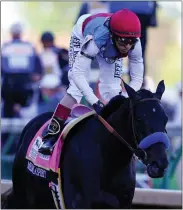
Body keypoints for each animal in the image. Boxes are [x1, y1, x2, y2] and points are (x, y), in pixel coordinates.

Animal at [2, 80, 170, 208]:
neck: (109, 161)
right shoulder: (78, 203)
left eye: (165, 118)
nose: (159, 164)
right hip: (25, 197)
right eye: (140, 119)